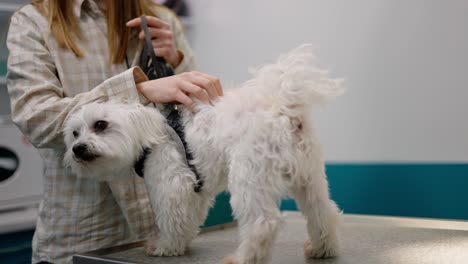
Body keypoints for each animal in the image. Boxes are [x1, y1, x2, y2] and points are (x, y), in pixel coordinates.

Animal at [63, 45, 344, 264]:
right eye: (75, 133)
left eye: (100, 125)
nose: (78, 149)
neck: (149, 135)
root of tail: (283, 108)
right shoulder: (194, 191)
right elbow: (186, 220)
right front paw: (180, 244)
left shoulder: (171, 186)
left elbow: (170, 219)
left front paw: (165, 247)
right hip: (309, 177)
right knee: (323, 211)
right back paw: (322, 248)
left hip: (249, 177)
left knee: (262, 223)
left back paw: (242, 258)